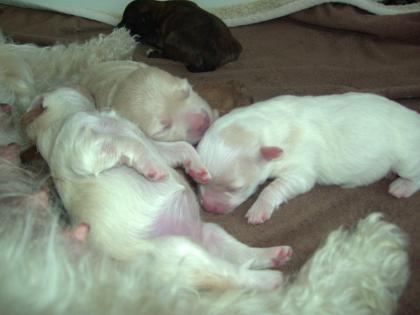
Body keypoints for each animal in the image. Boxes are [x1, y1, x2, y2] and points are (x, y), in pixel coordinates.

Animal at [22, 87, 296, 292]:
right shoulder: (83, 148)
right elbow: (128, 143)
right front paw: (152, 169)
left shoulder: (155, 144)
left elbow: (181, 146)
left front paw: (198, 169)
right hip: (181, 252)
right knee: (233, 275)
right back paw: (274, 278)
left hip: (211, 233)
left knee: (243, 256)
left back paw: (275, 254)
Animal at [195, 93, 420, 225]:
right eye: (197, 181)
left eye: (236, 189)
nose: (208, 209)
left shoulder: (301, 168)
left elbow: (274, 187)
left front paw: (259, 209)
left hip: (406, 158)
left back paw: (402, 186)